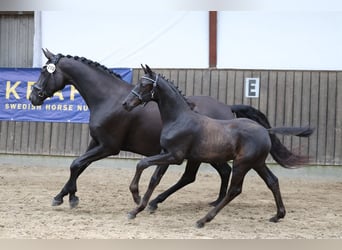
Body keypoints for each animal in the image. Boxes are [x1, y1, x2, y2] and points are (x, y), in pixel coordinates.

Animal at [30, 49, 308, 210]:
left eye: (45, 71)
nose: (33, 97)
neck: (110, 98)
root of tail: (228, 108)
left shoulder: (108, 147)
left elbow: (76, 164)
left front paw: (66, 198)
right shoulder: (95, 143)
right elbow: (79, 165)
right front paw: (67, 195)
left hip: (202, 155)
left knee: (203, 175)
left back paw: (161, 202)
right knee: (220, 173)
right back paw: (212, 201)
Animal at [122, 65, 312, 228]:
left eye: (144, 84)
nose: (125, 104)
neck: (179, 118)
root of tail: (265, 130)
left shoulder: (175, 156)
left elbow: (142, 163)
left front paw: (136, 197)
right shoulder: (166, 152)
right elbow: (154, 178)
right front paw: (139, 208)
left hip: (242, 164)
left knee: (234, 190)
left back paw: (203, 220)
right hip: (257, 163)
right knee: (272, 181)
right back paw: (278, 215)